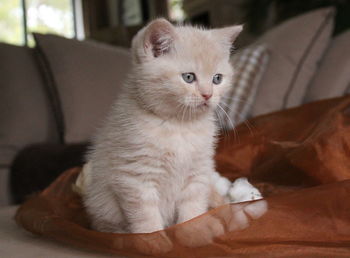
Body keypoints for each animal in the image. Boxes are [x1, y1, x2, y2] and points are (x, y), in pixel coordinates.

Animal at [82, 18, 243, 234]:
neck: (179, 126)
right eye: (189, 77)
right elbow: (146, 219)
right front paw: (154, 238)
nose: (208, 95)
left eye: (217, 79)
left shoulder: (197, 173)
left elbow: (193, 209)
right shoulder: (136, 177)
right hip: (101, 206)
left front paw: (195, 232)